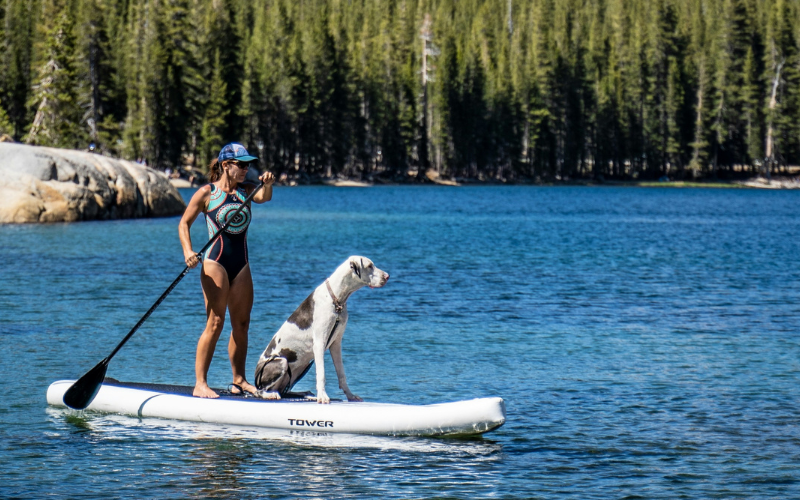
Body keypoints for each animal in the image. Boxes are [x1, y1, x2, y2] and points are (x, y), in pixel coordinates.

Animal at [255, 256, 390, 404]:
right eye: (370, 266)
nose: (387, 276)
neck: (337, 299)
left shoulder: (336, 344)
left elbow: (341, 374)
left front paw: (350, 395)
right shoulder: (319, 343)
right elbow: (321, 374)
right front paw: (323, 396)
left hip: (301, 367)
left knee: (285, 391)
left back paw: (306, 394)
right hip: (281, 362)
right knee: (260, 391)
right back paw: (270, 394)